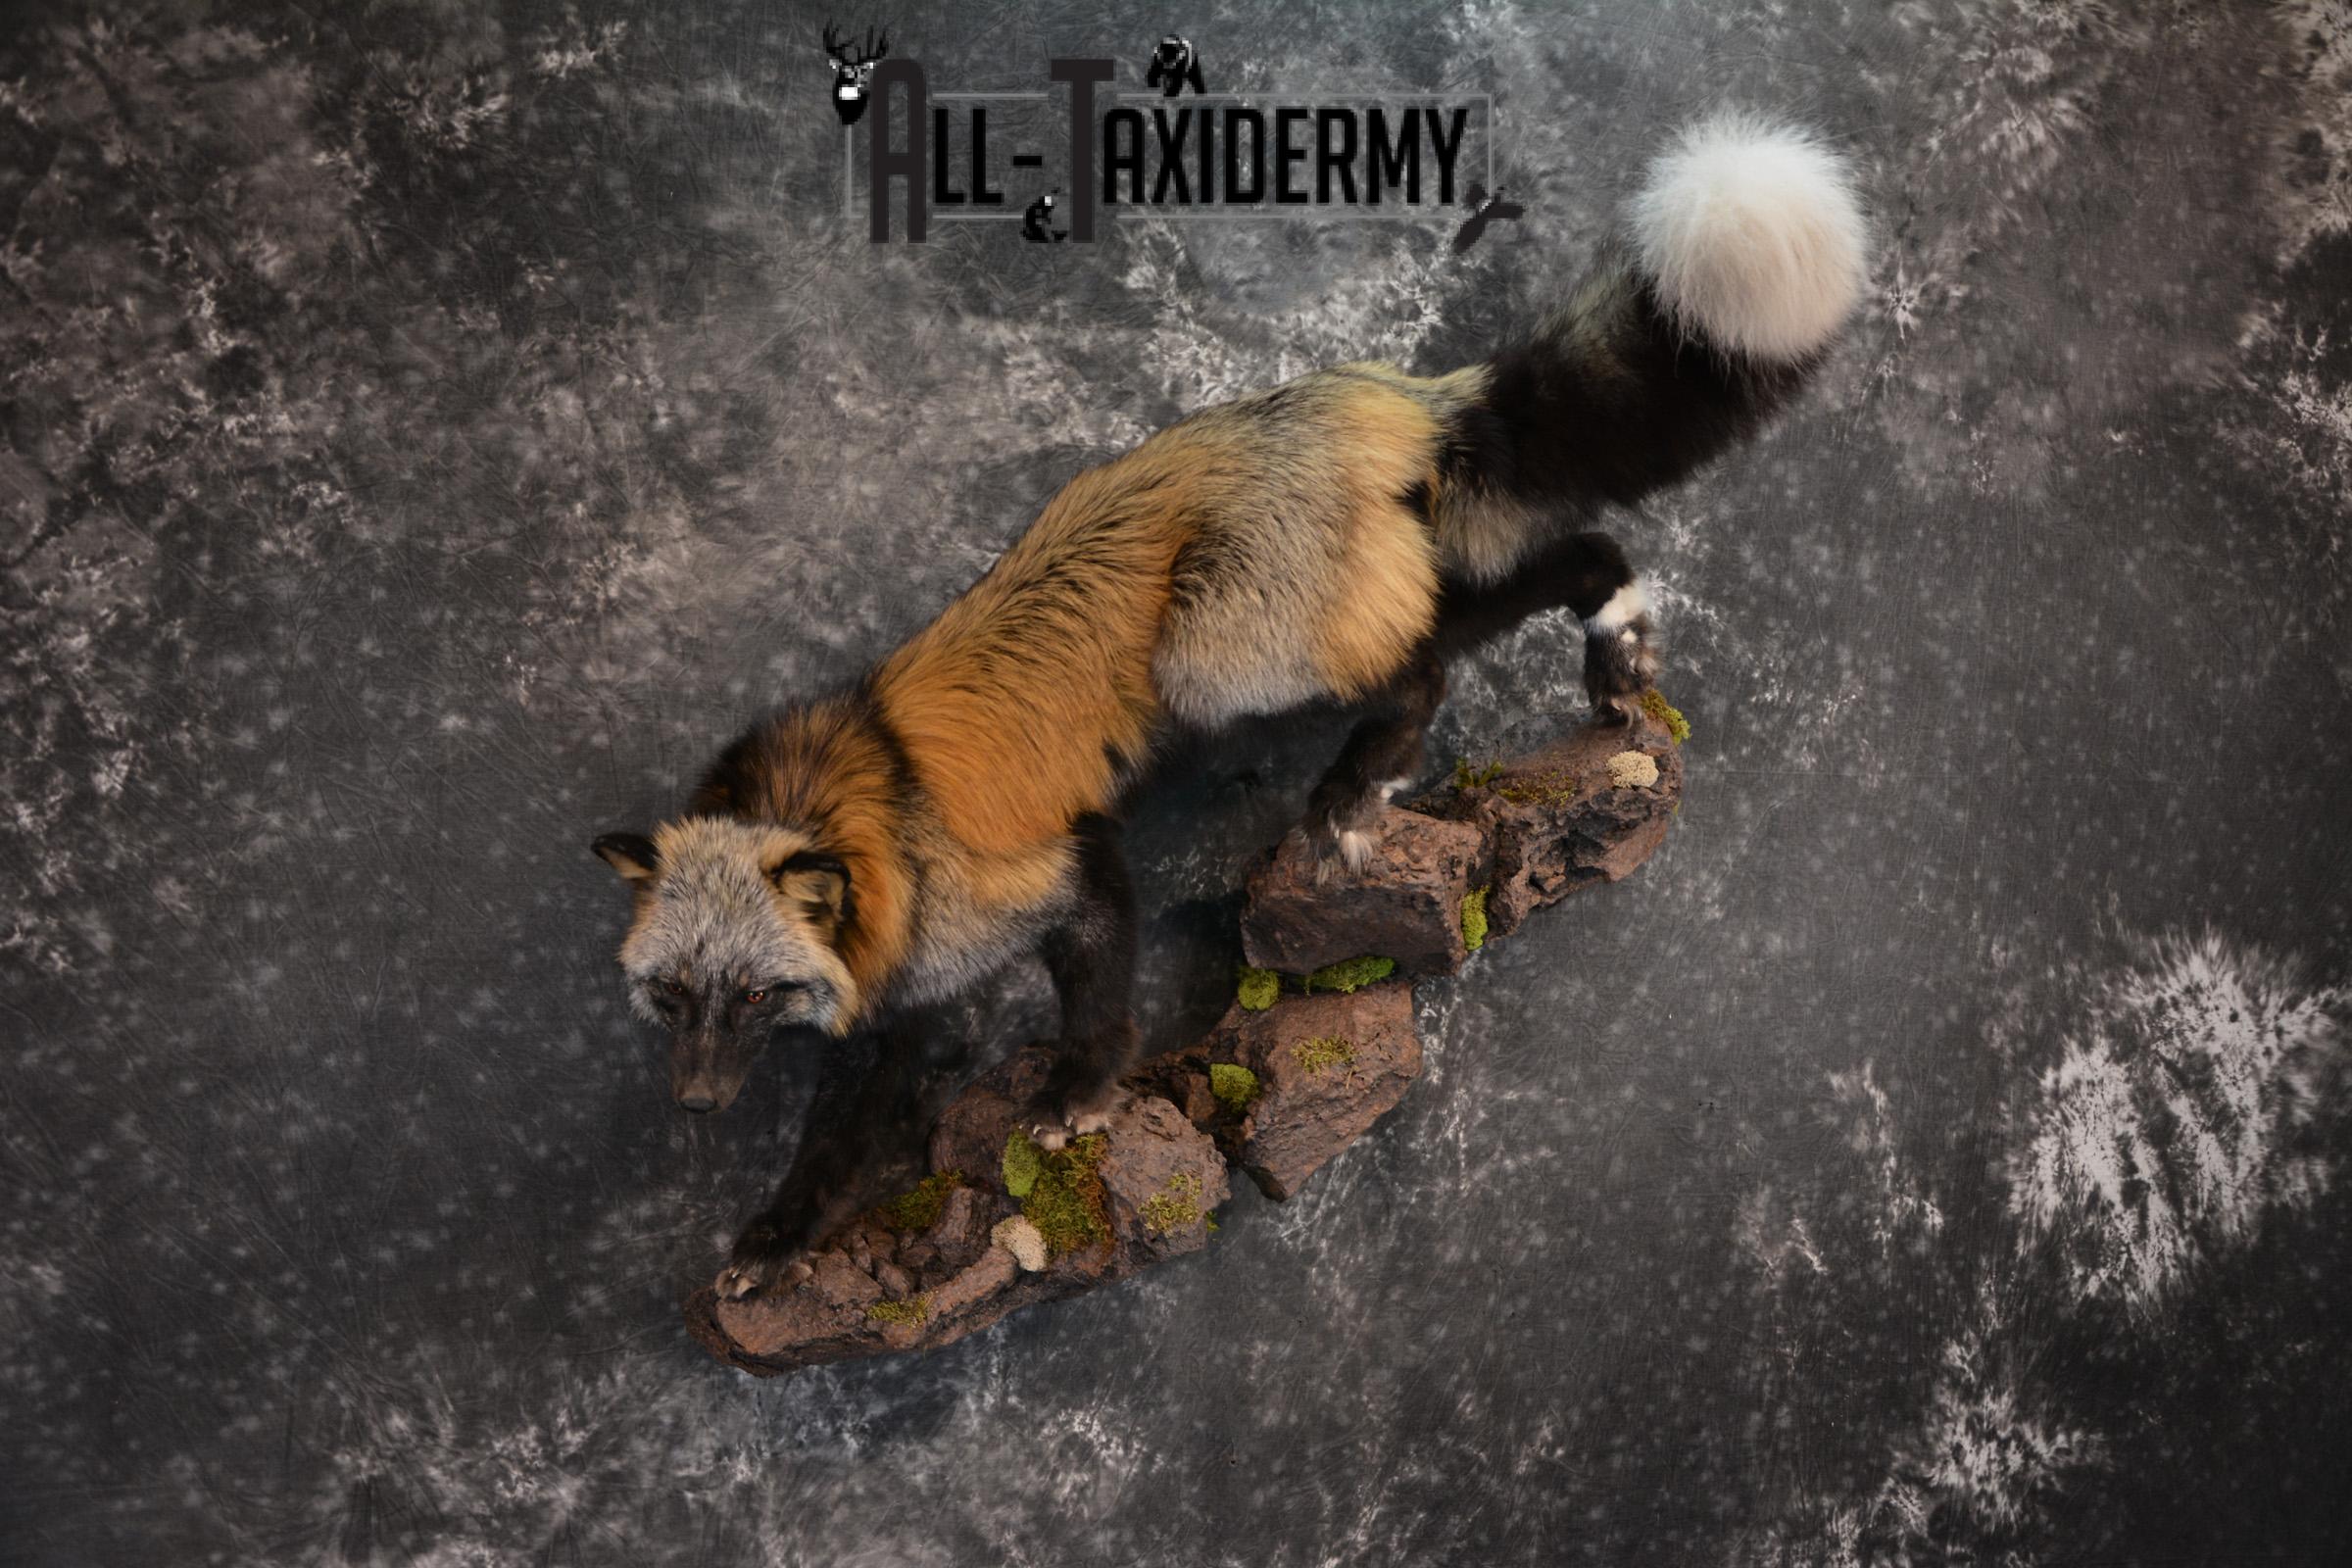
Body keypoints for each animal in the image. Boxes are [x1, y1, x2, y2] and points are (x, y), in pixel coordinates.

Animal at [593, 114, 1868, 1300]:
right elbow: (836, 1143)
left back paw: (1364, 779)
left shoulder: (1068, 866)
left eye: (752, 992)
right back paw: (1615, 640)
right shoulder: (905, 1002)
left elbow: (1099, 1001)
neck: (874, 821)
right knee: (1565, 557)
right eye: (673, 993)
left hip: (1212, 657)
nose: (695, 1104)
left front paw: (1076, 1094)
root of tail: (1368, 393)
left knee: (1428, 661)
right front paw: (777, 1237)